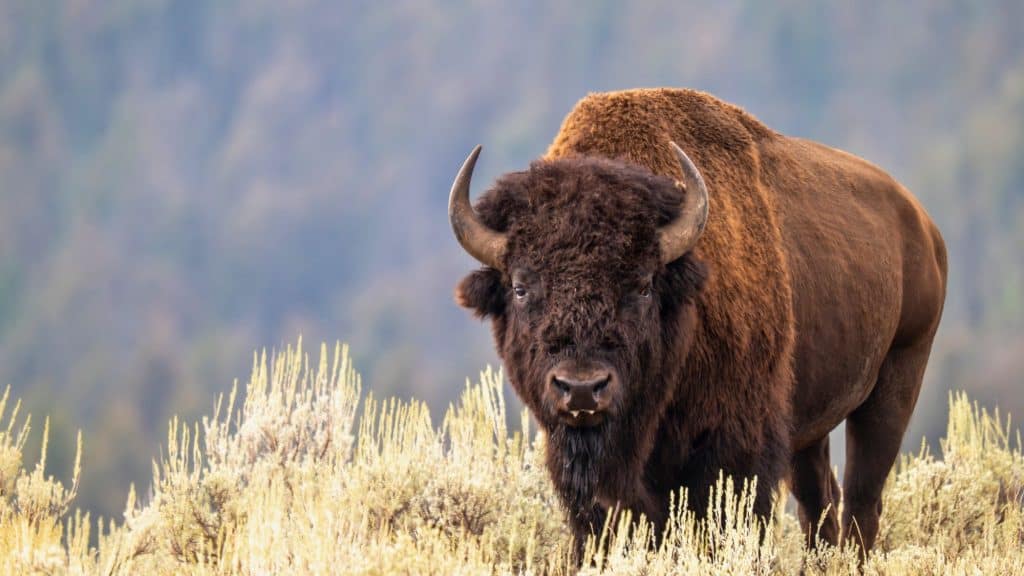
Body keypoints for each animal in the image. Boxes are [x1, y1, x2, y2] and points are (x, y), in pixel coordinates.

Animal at [449, 88, 947, 557]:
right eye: (520, 287)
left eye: (643, 285)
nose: (582, 389)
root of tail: (922, 225)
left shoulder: (736, 449)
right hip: (811, 423)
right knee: (818, 502)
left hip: (897, 380)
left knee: (863, 502)